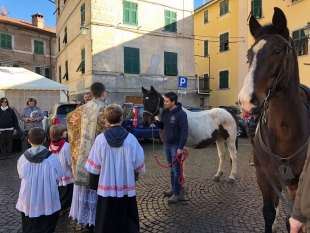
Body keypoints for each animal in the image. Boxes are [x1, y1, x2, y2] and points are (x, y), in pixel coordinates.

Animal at [239, 7, 308, 233]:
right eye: (249, 55)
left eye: (277, 50)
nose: (246, 100)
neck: (285, 132)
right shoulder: (265, 177)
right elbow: (269, 213)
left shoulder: (299, 183)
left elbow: (295, 221)